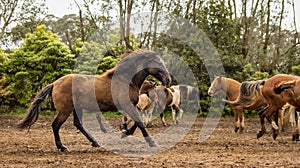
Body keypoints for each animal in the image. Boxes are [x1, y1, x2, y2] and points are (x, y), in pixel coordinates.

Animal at [17, 49, 171, 152]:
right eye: (157, 62)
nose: (168, 80)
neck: (127, 80)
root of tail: (55, 83)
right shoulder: (128, 106)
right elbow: (139, 123)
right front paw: (152, 143)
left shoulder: (131, 106)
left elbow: (136, 123)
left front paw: (124, 133)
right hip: (65, 110)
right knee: (56, 125)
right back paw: (63, 147)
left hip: (76, 109)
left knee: (78, 124)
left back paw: (95, 142)